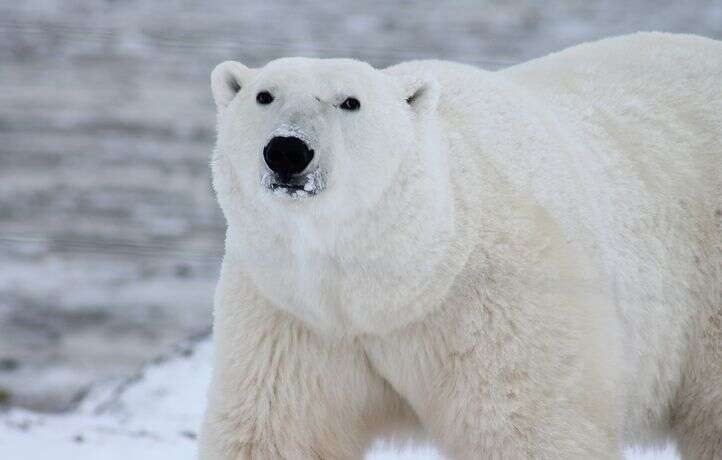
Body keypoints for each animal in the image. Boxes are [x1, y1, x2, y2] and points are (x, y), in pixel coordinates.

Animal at [198, 33, 720, 460]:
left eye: (350, 102)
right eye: (264, 95)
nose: (287, 150)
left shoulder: (500, 303)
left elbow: (526, 427)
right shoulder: (293, 314)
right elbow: (277, 429)